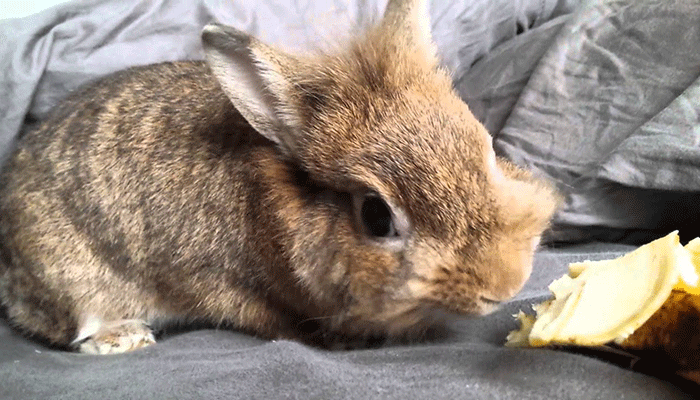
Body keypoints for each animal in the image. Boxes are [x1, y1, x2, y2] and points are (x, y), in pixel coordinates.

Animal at [0, 0, 556, 356]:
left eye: (485, 147)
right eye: (376, 216)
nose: (505, 283)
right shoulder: (225, 288)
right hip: (75, 282)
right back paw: (124, 339)